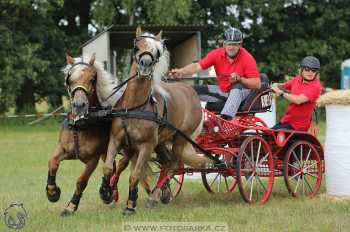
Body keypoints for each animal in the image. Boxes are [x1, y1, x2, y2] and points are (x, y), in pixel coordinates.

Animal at [101, 26, 215, 215]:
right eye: (137, 46)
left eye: (157, 52)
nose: (145, 65)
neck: (135, 107)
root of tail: (191, 92)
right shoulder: (117, 140)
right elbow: (110, 167)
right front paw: (106, 192)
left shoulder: (146, 146)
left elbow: (135, 174)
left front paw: (130, 206)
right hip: (161, 141)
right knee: (167, 163)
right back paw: (161, 193)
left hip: (179, 138)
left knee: (175, 164)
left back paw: (154, 197)